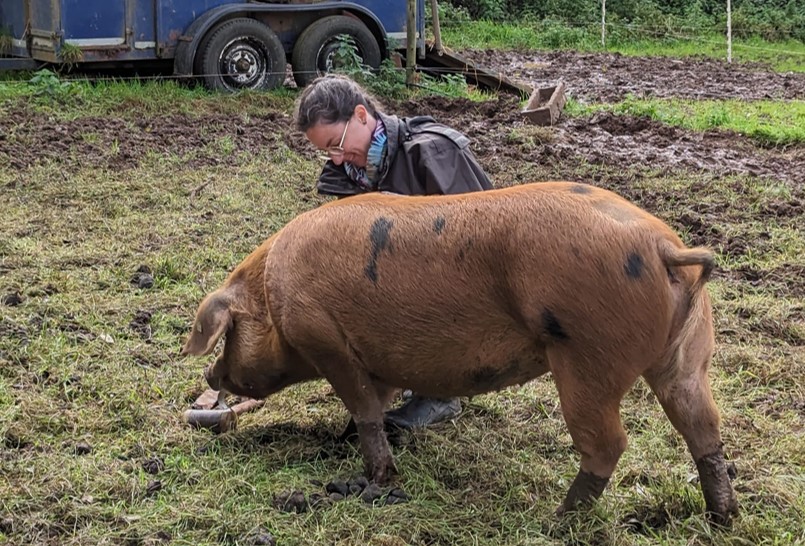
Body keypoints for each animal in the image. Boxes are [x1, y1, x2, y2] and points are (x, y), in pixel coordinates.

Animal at [185, 181, 740, 520]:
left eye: (227, 335)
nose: (210, 378)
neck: (273, 293)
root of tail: (665, 248)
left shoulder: (329, 342)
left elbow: (365, 410)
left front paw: (370, 483)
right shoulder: (377, 359)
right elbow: (376, 406)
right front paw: (342, 444)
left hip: (588, 358)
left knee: (609, 444)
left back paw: (559, 519)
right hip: (689, 357)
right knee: (704, 428)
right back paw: (723, 516)